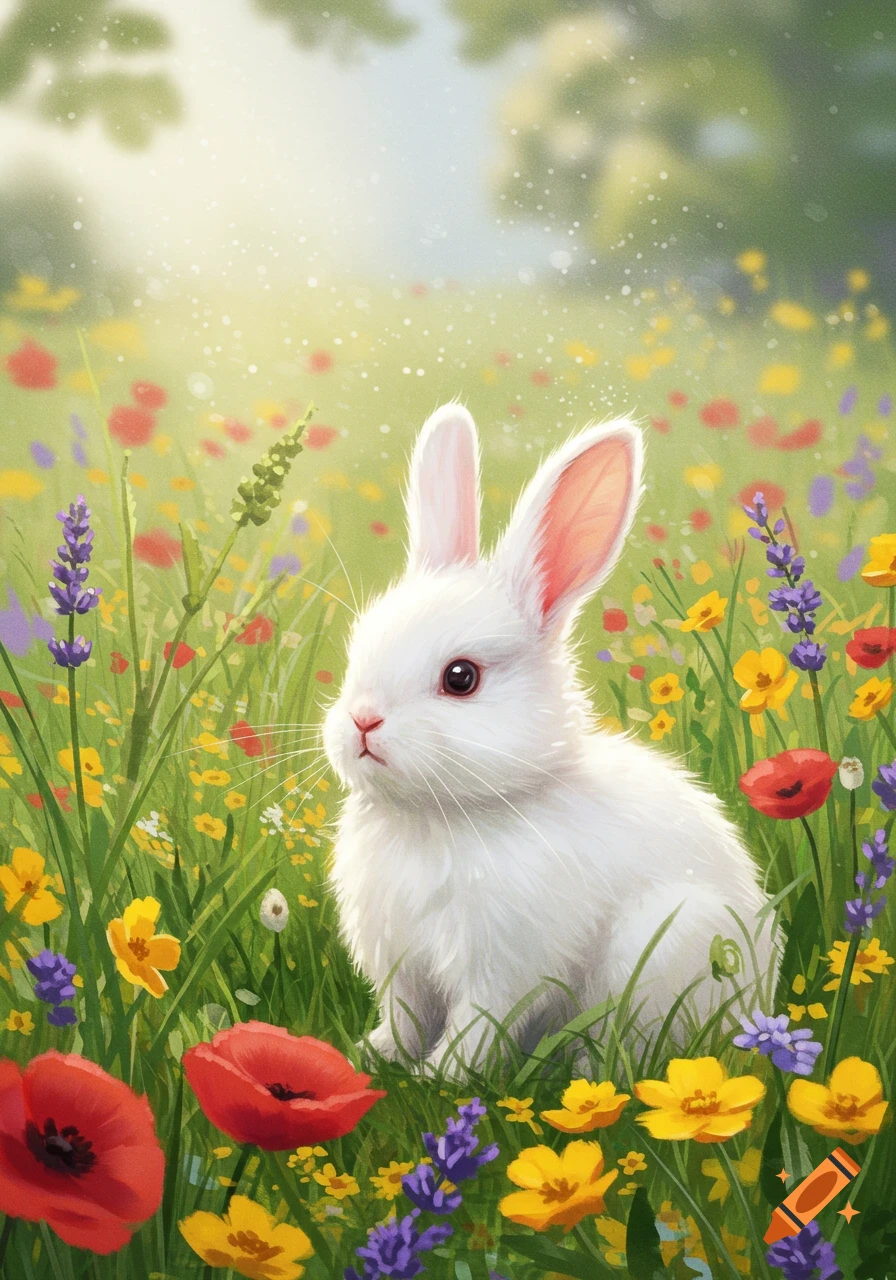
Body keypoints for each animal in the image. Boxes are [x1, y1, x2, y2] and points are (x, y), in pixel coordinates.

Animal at [323, 403, 776, 1076]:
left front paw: (438, 1079)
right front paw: (370, 1058)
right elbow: (402, 1020)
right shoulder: (402, 968)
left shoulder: (503, 967)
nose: (362, 722)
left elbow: (474, 1027)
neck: (437, 817)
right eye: (358, 650)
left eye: (461, 678)